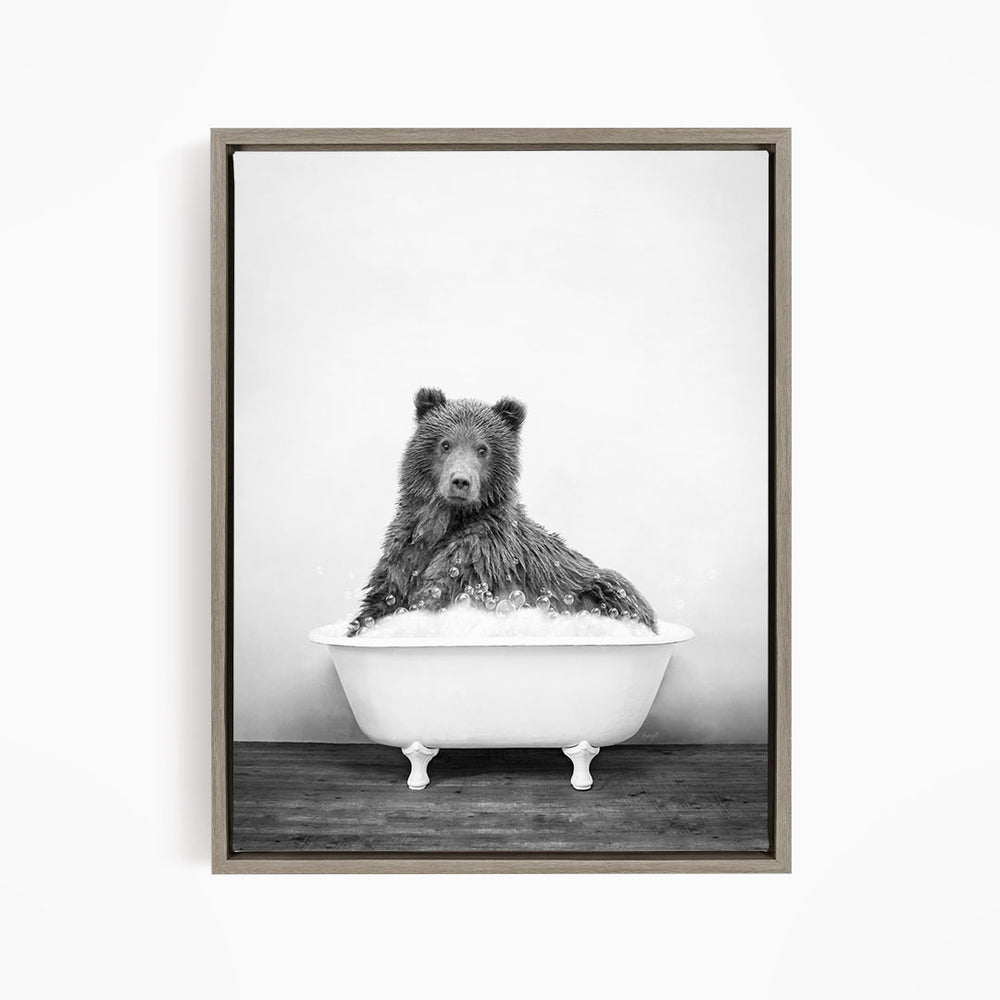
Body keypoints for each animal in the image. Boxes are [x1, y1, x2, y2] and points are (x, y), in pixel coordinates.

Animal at [349, 387, 656, 633]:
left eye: (483, 449)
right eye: (445, 444)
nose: (460, 481)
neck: (445, 521)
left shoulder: (480, 555)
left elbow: (439, 591)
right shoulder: (405, 552)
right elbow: (382, 598)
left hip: (599, 587)